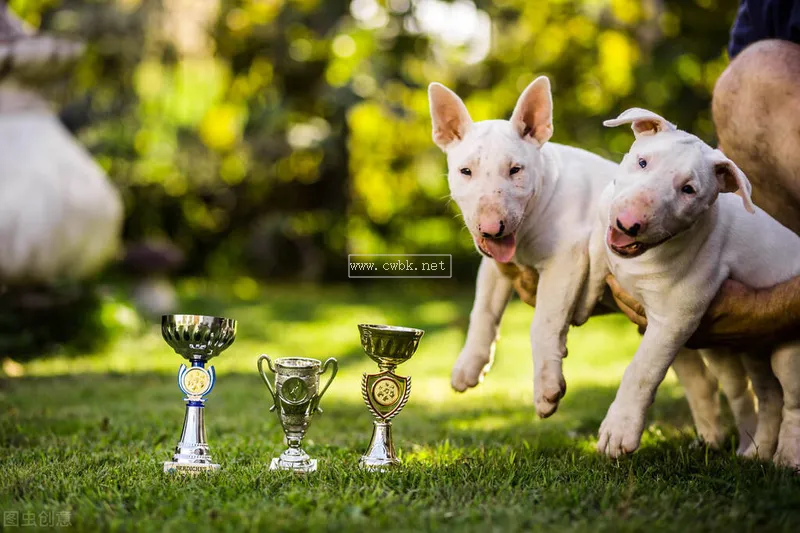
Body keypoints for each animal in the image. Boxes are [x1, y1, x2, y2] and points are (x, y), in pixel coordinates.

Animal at [580, 110, 800, 468]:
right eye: (642, 162)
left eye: (688, 190)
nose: (629, 223)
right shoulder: (604, 236)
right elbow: (591, 264)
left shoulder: (674, 318)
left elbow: (642, 370)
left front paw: (618, 431)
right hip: (753, 351)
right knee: (768, 395)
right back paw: (755, 451)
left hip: (789, 351)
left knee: (793, 401)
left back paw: (787, 458)